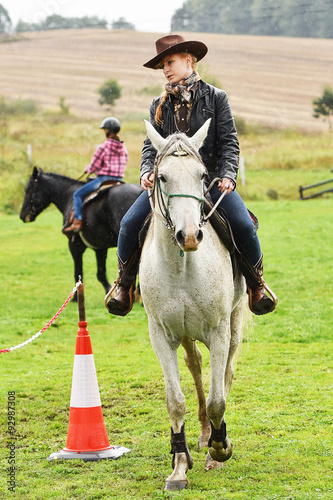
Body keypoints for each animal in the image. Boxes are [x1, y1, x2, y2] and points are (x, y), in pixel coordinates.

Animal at [19, 168, 141, 300]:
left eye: (27, 189)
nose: (22, 216)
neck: (68, 196)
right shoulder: (100, 247)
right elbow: (101, 273)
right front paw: (109, 291)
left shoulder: (75, 245)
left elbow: (78, 272)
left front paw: (75, 298)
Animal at [138, 119, 246, 490]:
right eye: (161, 177)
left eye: (202, 175)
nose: (188, 235)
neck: (182, 266)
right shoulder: (160, 336)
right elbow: (176, 401)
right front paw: (180, 466)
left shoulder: (218, 331)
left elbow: (217, 400)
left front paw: (220, 446)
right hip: (185, 335)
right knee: (196, 366)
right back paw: (200, 437)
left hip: (234, 323)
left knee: (225, 373)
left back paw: (214, 441)